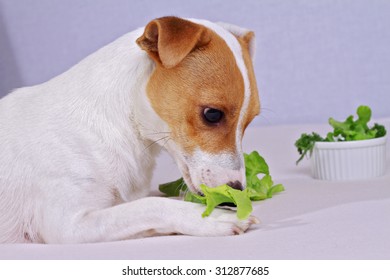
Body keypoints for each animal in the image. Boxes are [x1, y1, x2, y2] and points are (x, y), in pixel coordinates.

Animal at [0, 16, 262, 243]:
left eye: (249, 120)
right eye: (212, 114)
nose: (236, 193)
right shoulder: (69, 225)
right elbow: (152, 205)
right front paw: (212, 218)